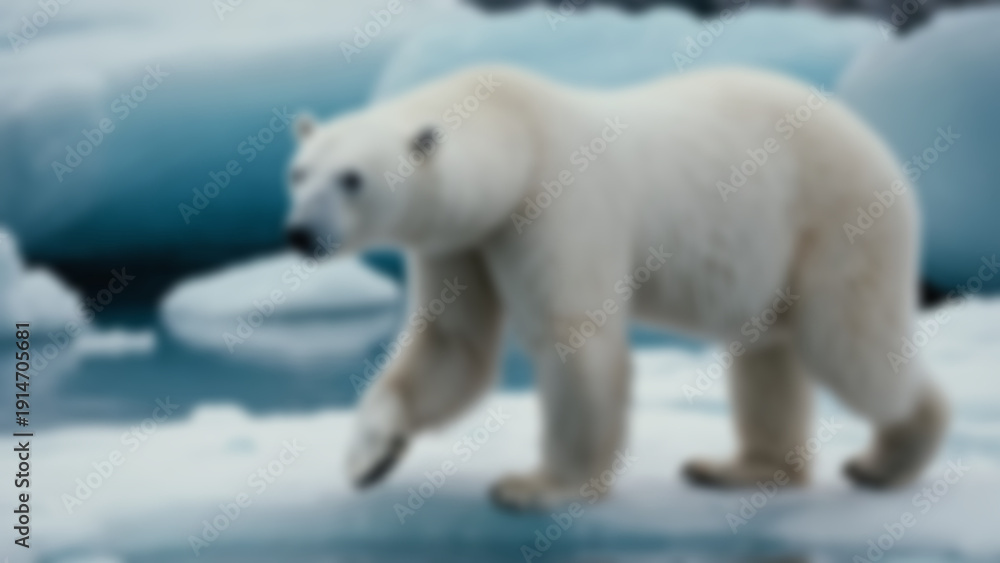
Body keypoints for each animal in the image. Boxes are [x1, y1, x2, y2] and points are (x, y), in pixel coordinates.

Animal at [283, 65, 948, 511]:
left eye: (351, 178)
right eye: (299, 172)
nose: (298, 233)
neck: (516, 130)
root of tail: (870, 136)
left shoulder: (552, 204)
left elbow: (571, 332)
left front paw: (540, 486)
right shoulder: (465, 239)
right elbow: (451, 342)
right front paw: (368, 456)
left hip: (833, 218)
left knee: (852, 345)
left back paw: (886, 459)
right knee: (766, 347)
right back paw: (739, 468)